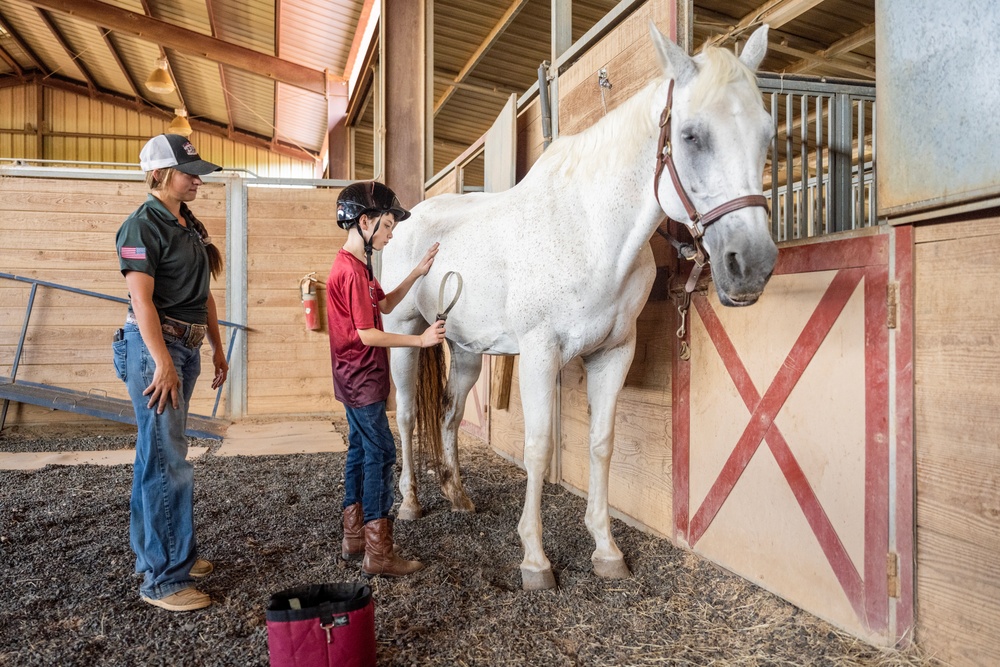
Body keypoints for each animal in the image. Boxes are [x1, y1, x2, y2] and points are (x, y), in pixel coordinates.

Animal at [378, 22, 776, 588]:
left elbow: (601, 443)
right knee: (410, 415)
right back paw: (411, 502)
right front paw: (535, 558)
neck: (591, 231)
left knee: (451, 414)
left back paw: (459, 495)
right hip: (404, 332)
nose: (753, 264)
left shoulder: (614, 353)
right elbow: (539, 447)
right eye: (691, 135)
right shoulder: (540, 354)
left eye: (767, 134)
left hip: (468, 349)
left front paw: (606, 549)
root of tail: (408, 219)